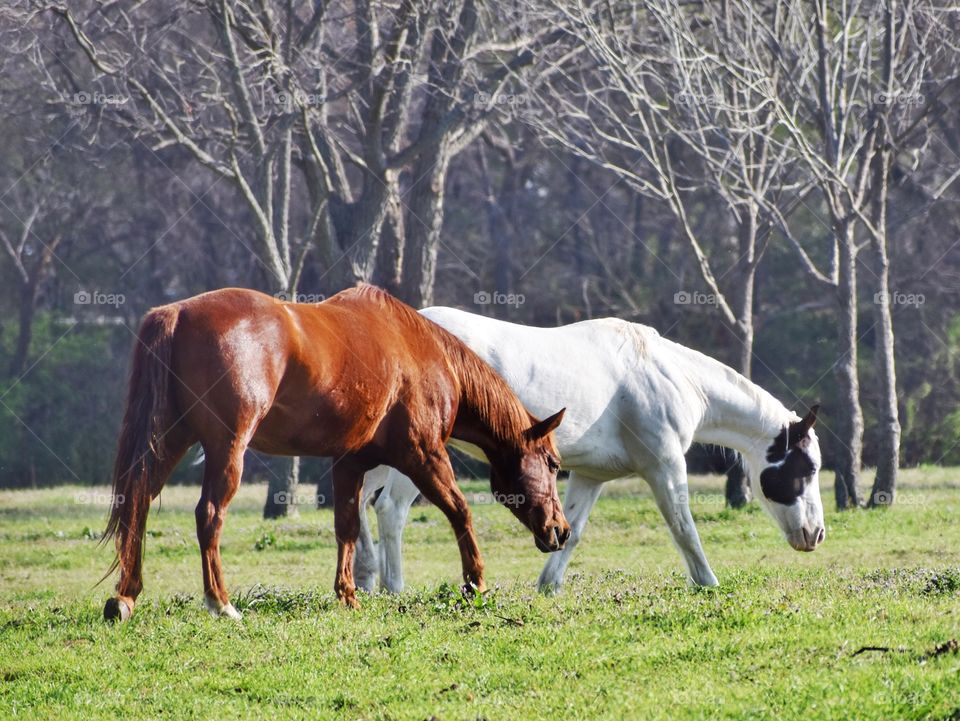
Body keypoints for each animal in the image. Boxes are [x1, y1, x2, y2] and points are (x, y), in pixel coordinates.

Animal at [103, 286, 568, 620]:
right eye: (552, 463)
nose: (560, 530)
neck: (421, 351)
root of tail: (178, 313)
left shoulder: (350, 463)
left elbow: (346, 526)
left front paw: (348, 595)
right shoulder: (424, 456)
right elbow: (460, 511)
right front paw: (475, 583)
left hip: (168, 442)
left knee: (138, 502)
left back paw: (126, 597)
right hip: (227, 449)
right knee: (209, 515)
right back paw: (221, 602)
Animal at [354, 306, 824, 592]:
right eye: (809, 468)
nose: (816, 534)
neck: (670, 375)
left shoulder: (590, 475)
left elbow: (572, 531)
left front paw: (549, 587)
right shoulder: (665, 467)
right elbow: (683, 528)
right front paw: (707, 582)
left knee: (358, 500)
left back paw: (365, 579)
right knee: (389, 510)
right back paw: (394, 588)